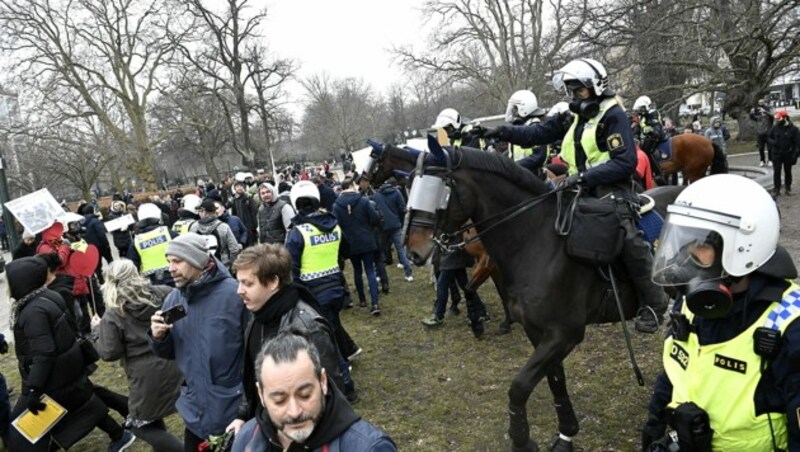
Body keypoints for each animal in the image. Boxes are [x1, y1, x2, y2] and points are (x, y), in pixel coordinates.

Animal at [404, 142, 684, 452]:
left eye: (438, 188)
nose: (414, 251)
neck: (537, 242)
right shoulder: (539, 332)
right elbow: (555, 382)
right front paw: (565, 434)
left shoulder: (564, 333)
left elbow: (519, 387)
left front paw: (521, 440)